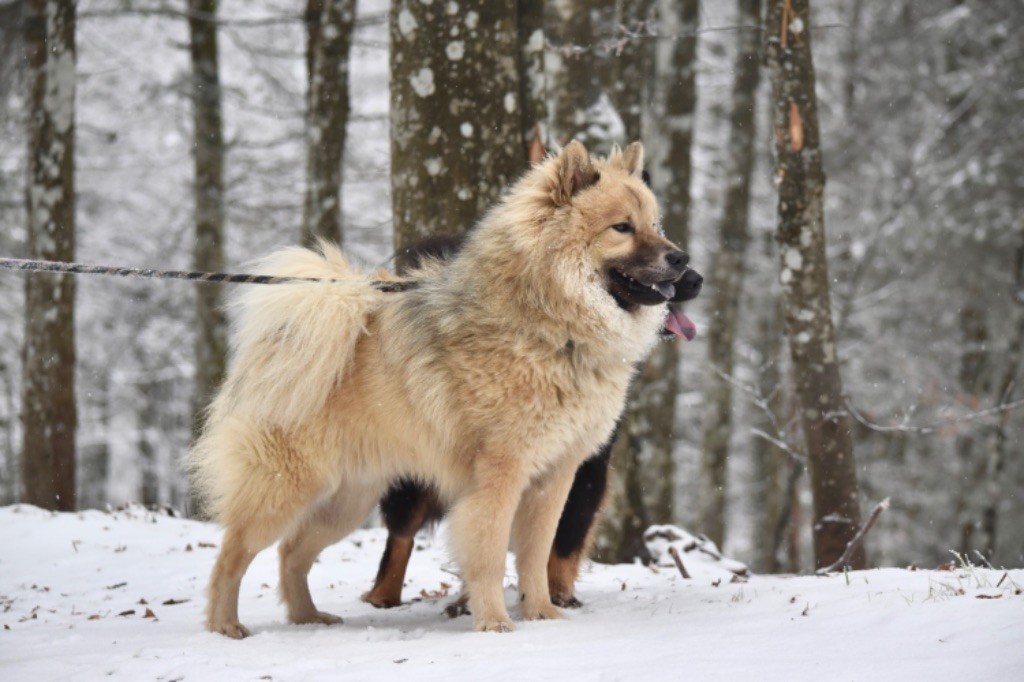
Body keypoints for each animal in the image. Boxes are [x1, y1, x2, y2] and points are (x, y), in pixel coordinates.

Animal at [190, 139, 688, 638]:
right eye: (622, 227)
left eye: (656, 226)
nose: (682, 260)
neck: (551, 328)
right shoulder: (500, 475)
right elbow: (489, 556)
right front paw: (494, 623)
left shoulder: (555, 476)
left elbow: (535, 556)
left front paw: (541, 614)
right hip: (285, 491)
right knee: (233, 556)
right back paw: (224, 626)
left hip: (347, 501)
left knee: (292, 552)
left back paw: (308, 616)